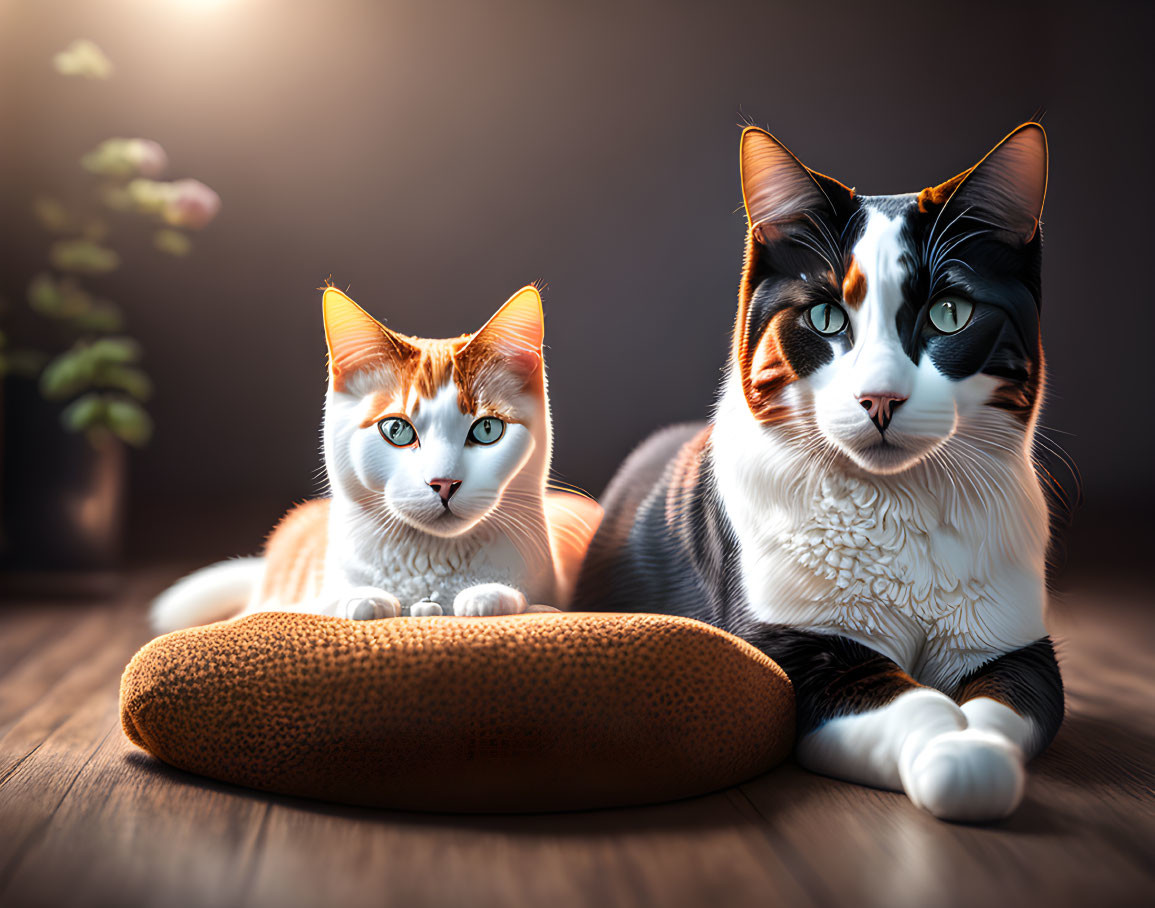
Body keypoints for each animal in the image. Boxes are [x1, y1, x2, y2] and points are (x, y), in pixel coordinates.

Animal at [150, 283, 600, 628]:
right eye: (396, 430)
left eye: (487, 429)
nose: (444, 484)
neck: (432, 570)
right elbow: (326, 600)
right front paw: (363, 599)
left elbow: (535, 601)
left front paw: (488, 595)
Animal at [572, 121, 1067, 822]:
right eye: (826, 316)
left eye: (950, 314)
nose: (880, 399)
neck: (900, 507)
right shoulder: (793, 650)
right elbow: (909, 699)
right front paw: (955, 758)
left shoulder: (1014, 642)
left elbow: (1010, 699)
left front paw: (979, 751)